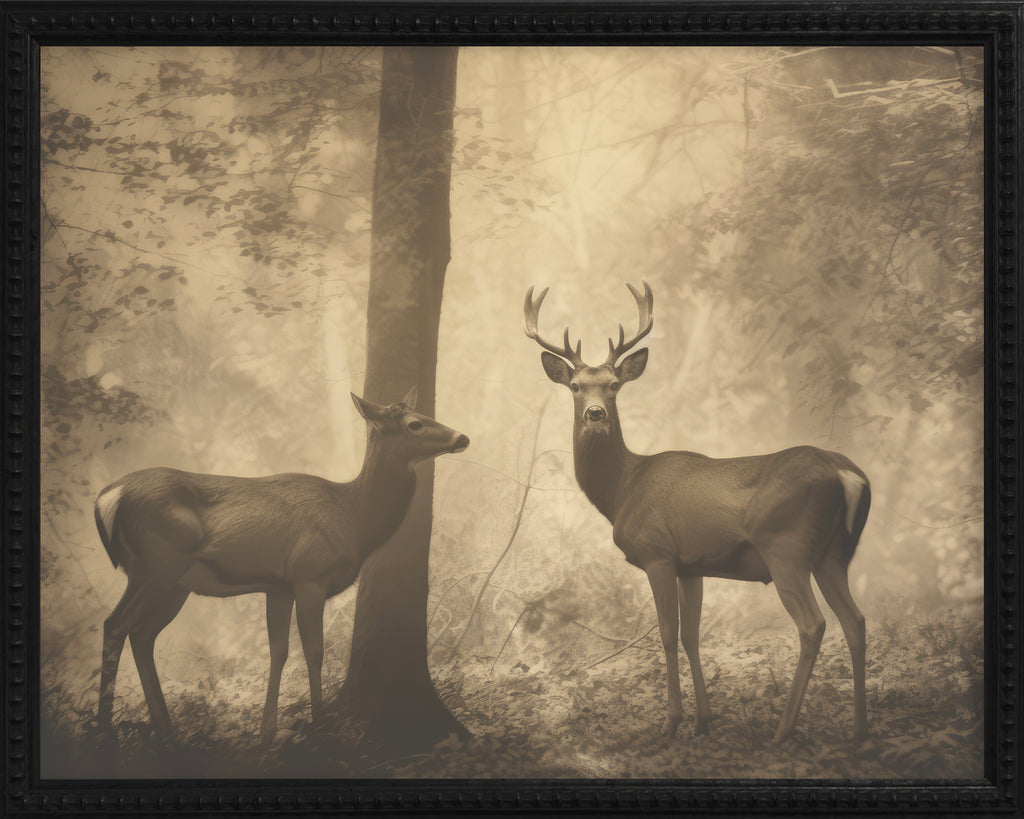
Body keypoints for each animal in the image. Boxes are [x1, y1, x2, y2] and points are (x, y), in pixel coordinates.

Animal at [93, 388, 468, 744]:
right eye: (415, 424)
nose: (463, 437)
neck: (353, 517)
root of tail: (106, 498)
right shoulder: (310, 575)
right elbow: (314, 651)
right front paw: (319, 725)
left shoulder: (278, 587)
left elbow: (279, 651)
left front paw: (267, 732)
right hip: (155, 565)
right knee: (115, 624)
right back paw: (105, 731)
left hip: (175, 583)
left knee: (142, 635)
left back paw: (165, 728)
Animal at [524, 282, 870, 744]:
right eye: (576, 386)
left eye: (614, 384)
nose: (595, 414)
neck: (622, 489)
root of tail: (844, 472)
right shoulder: (692, 565)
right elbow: (691, 634)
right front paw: (704, 719)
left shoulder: (657, 553)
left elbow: (668, 634)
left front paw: (671, 721)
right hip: (833, 553)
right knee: (856, 620)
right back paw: (859, 729)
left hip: (786, 548)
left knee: (813, 625)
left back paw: (782, 731)